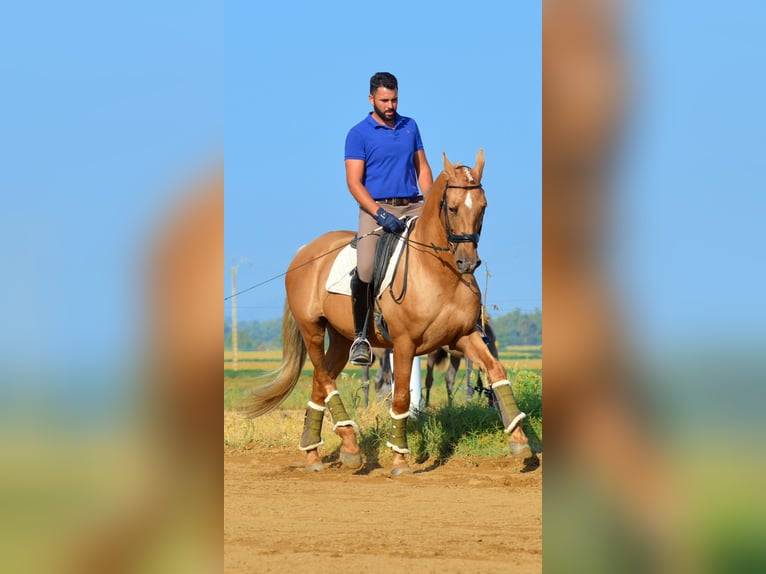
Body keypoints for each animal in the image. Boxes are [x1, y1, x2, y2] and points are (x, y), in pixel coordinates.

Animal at [249, 151, 532, 474]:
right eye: (452, 207)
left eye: (483, 207)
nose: (467, 263)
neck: (439, 272)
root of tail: (305, 252)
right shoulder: (405, 344)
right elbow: (401, 397)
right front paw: (399, 459)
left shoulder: (463, 336)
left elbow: (497, 371)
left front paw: (519, 440)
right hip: (312, 330)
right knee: (325, 377)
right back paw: (349, 444)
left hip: (342, 338)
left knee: (320, 383)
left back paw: (314, 453)